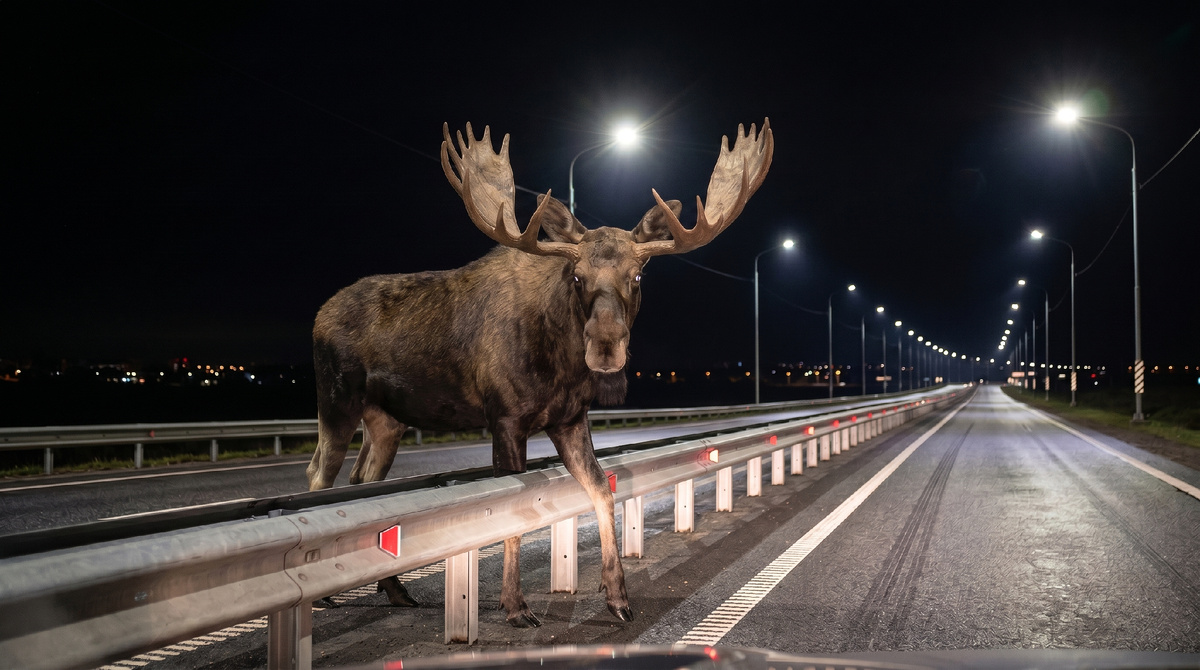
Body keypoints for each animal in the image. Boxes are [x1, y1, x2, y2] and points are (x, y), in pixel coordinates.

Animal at [305, 119, 773, 627]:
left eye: (637, 276)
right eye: (577, 276)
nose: (605, 346)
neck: (561, 365)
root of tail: (319, 316)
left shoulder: (569, 420)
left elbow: (602, 492)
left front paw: (617, 597)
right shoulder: (505, 419)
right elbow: (511, 512)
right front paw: (515, 606)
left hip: (387, 419)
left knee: (363, 481)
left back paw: (394, 591)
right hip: (336, 400)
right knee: (319, 475)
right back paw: (324, 596)